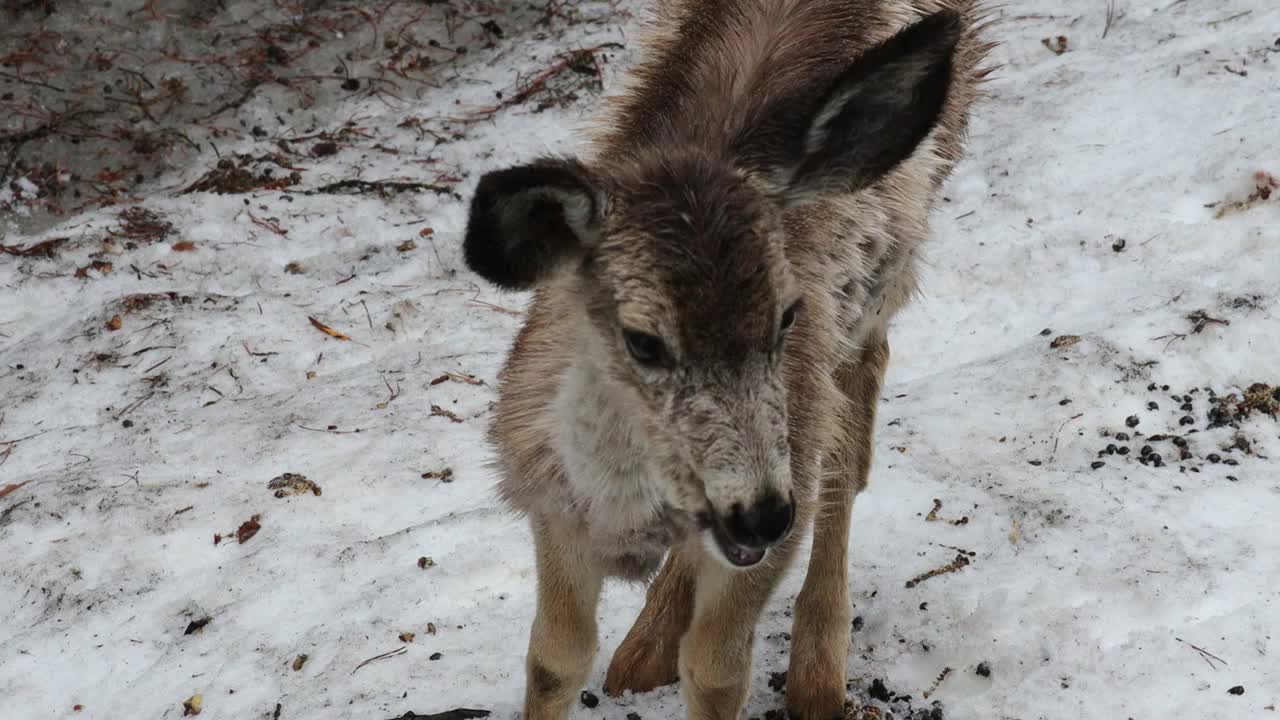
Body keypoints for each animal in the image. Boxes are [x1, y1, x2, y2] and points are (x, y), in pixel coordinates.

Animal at [458, 1, 988, 717]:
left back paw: (816, 675)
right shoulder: (550, 499)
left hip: (887, 273)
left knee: (853, 430)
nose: (762, 512)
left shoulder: (787, 477)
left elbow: (716, 669)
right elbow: (553, 658)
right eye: (643, 339)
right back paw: (642, 650)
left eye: (788, 315)